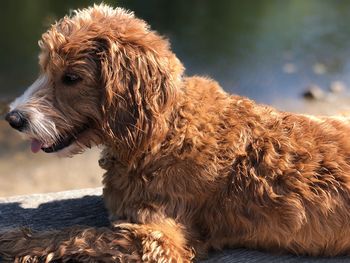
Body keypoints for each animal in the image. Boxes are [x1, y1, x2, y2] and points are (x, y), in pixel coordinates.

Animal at [0, 3, 350, 262]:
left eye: (71, 78)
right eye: (44, 69)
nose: (12, 117)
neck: (162, 133)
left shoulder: (159, 239)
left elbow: (76, 234)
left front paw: (17, 241)